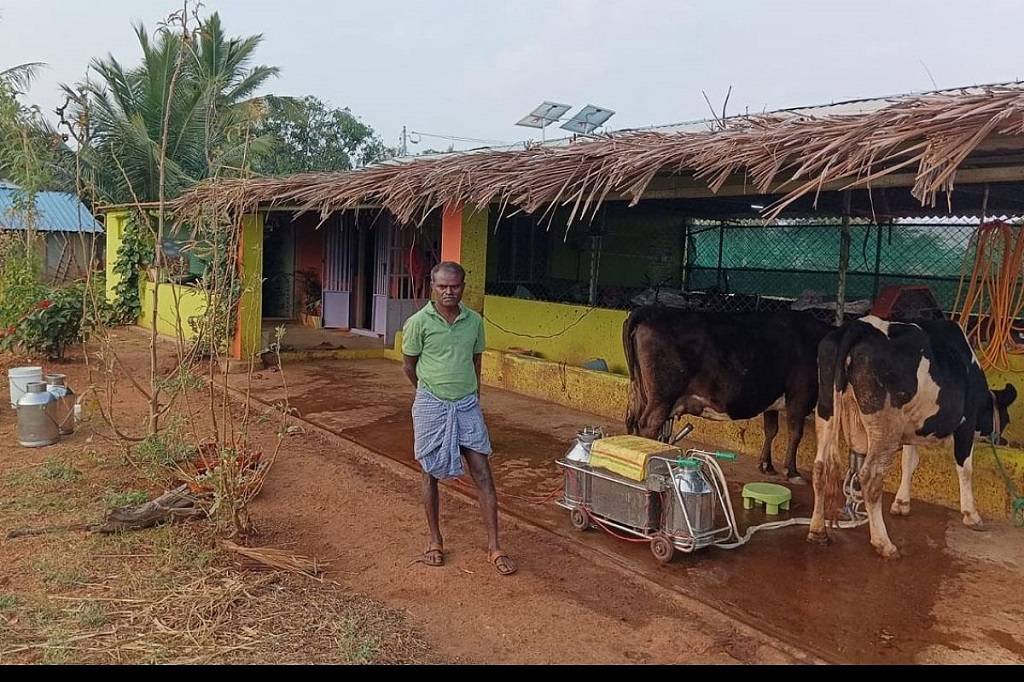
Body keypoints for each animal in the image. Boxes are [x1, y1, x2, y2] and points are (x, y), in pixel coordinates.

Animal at [622, 305, 831, 481]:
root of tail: (650, 310)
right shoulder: (801, 394)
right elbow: (795, 433)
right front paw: (792, 472)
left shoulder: (771, 399)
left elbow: (771, 430)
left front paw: (766, 465)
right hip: (662, 397)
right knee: (648, 424)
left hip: (640, 391)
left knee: (633, 420)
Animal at [806, 313, 1015, 557]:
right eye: (1006, 419)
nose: (1003, 441)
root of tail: (858, 326)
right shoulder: (966, 423)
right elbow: (965, 468)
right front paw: (971, 515)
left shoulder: (909, 427)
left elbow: (909, 461)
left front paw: (901, 503)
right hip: (885, 426)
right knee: (870, 476)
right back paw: (884, 543)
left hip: (826, 409)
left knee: (820, 467)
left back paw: (817, 531)